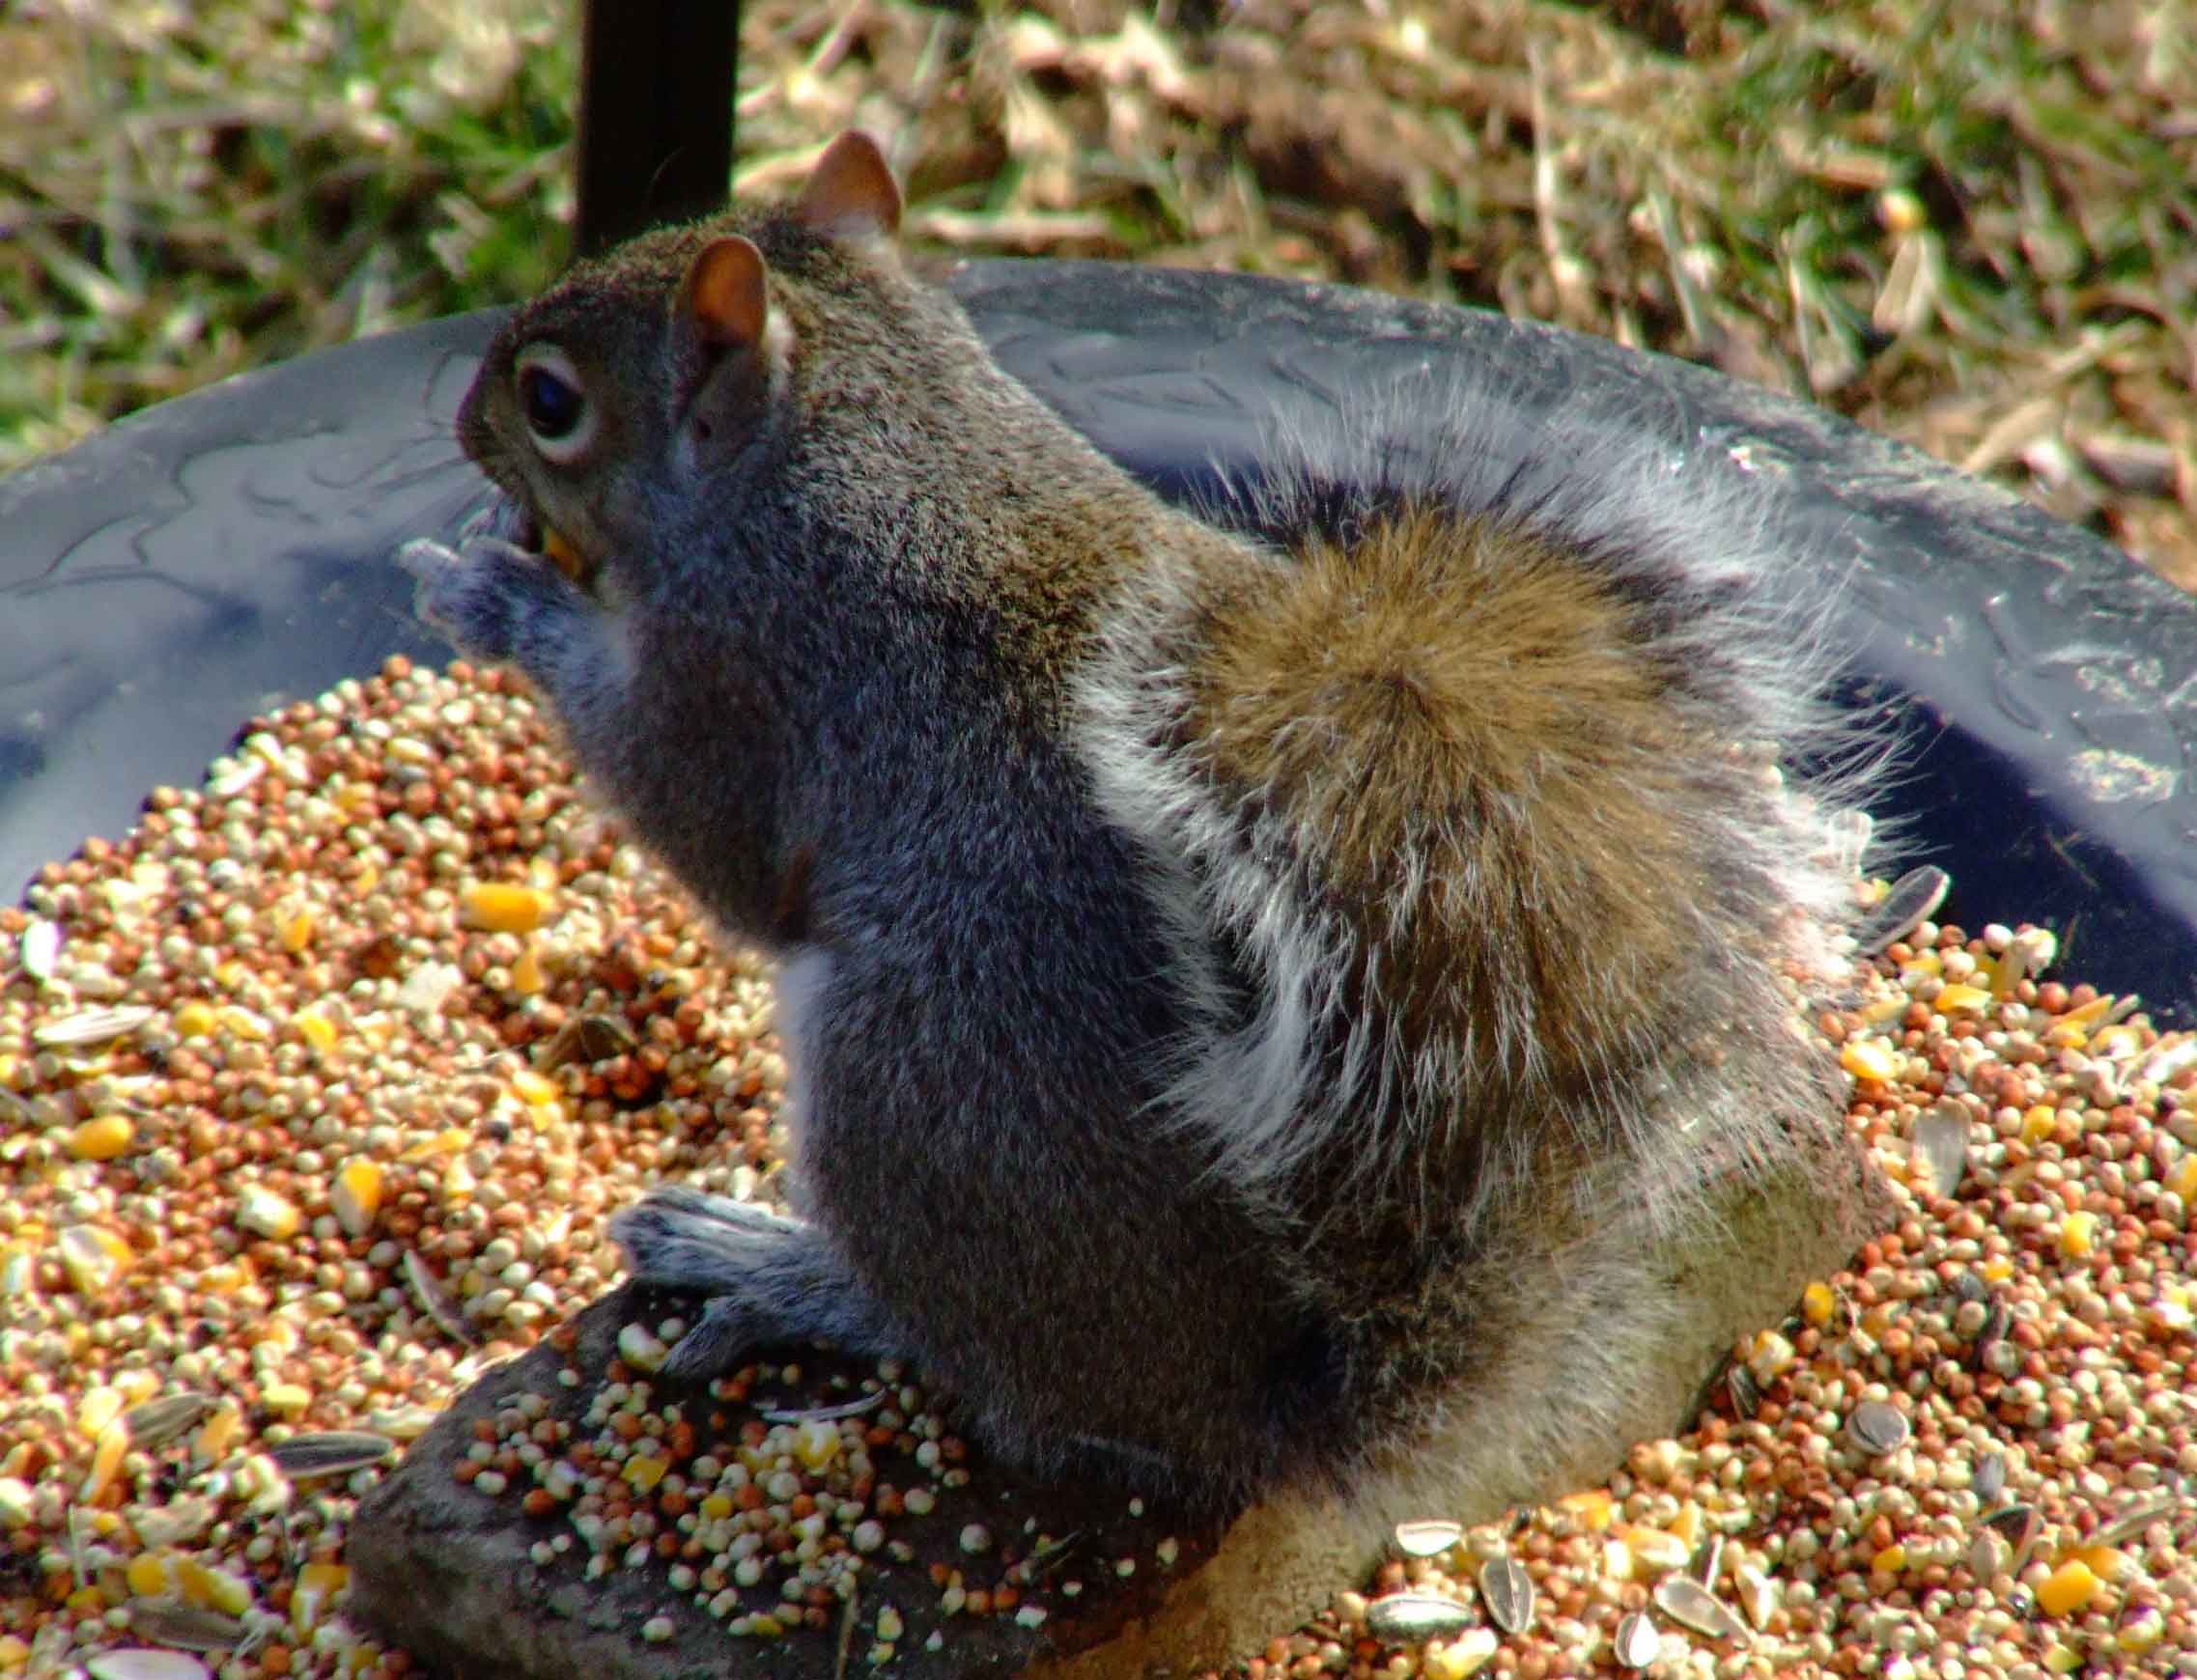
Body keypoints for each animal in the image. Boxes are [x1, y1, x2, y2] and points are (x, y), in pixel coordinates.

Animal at [404, 134, 1880, 1519]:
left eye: (551, 401)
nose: (463, 424)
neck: (871, 435)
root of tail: (1251, 1416)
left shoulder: (750, 671)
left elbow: (705, 829)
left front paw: (495, 596)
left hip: (906, 1084)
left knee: (958, 1348)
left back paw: (778, 1267)